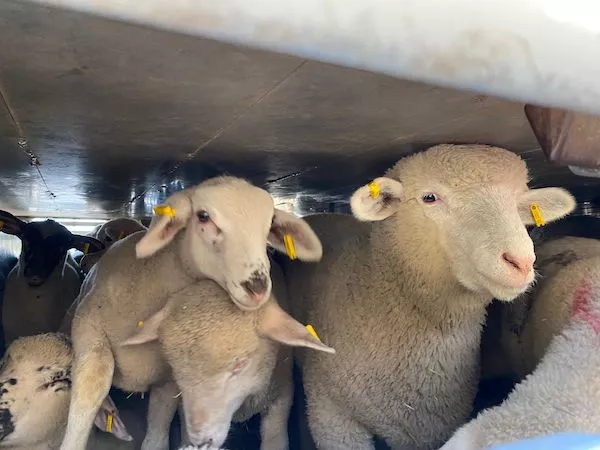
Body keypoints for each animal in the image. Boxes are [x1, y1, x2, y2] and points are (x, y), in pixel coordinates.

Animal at [57, 176, 324, 450]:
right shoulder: (89, 335)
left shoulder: (168, 380)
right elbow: (91, 390)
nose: (257, 287)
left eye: (270, 223)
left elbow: (157, 431)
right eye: (203, 216)